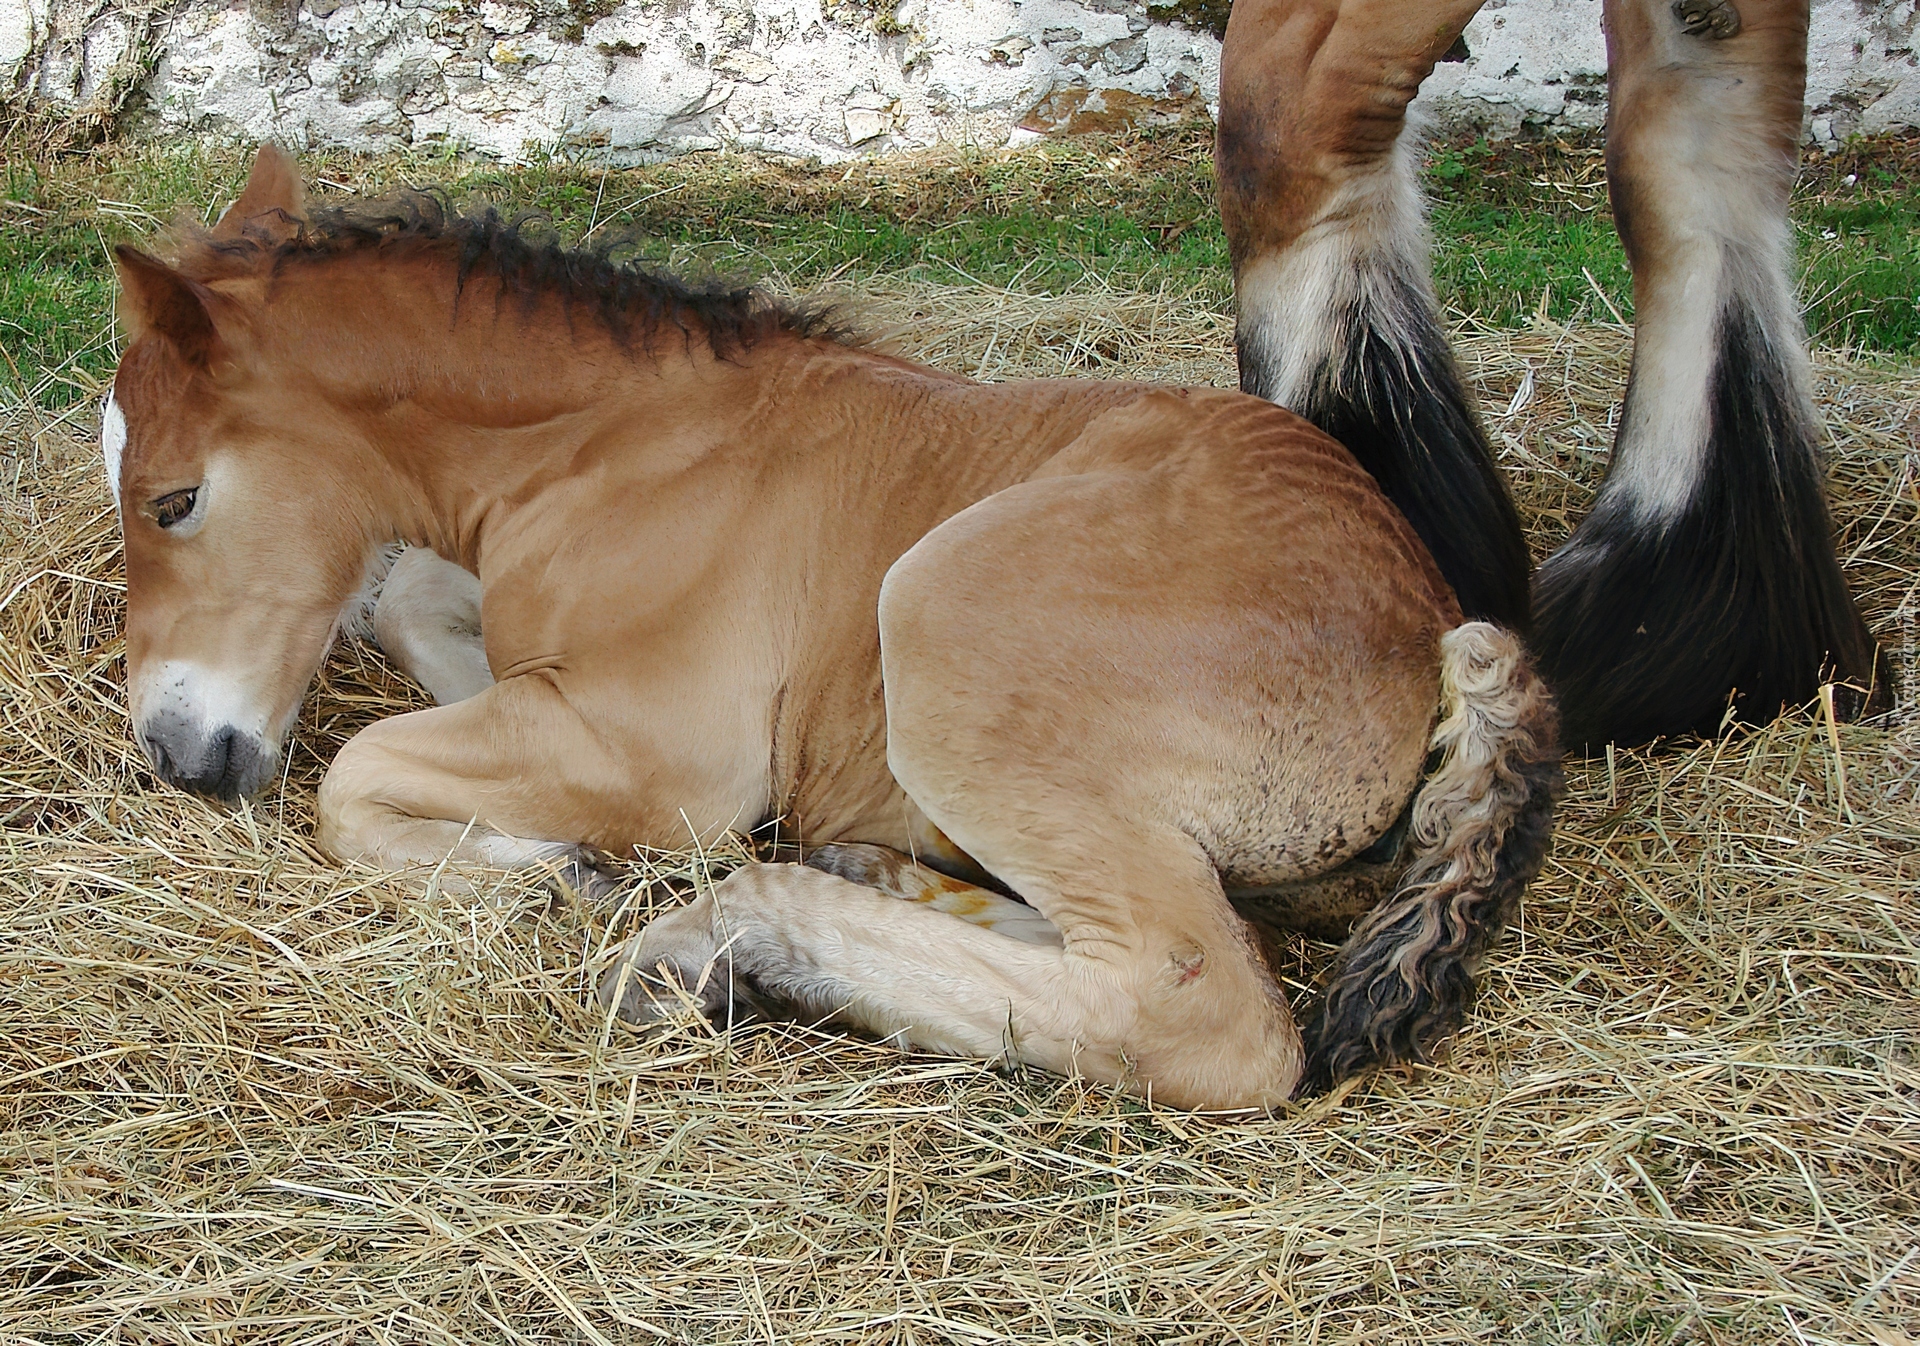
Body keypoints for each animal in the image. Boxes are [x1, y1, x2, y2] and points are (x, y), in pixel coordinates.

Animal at [101, 149, 1559, 1113]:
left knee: (1202, 1006)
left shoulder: (666, 751)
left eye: (174, 497)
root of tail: (1432, 630)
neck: (613, 444)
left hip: (947, 623)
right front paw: (555, 840)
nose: (174, 752)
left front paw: (564, 867)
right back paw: (871, 875)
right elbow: (416, 610)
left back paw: (733, 938)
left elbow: (358, 776)